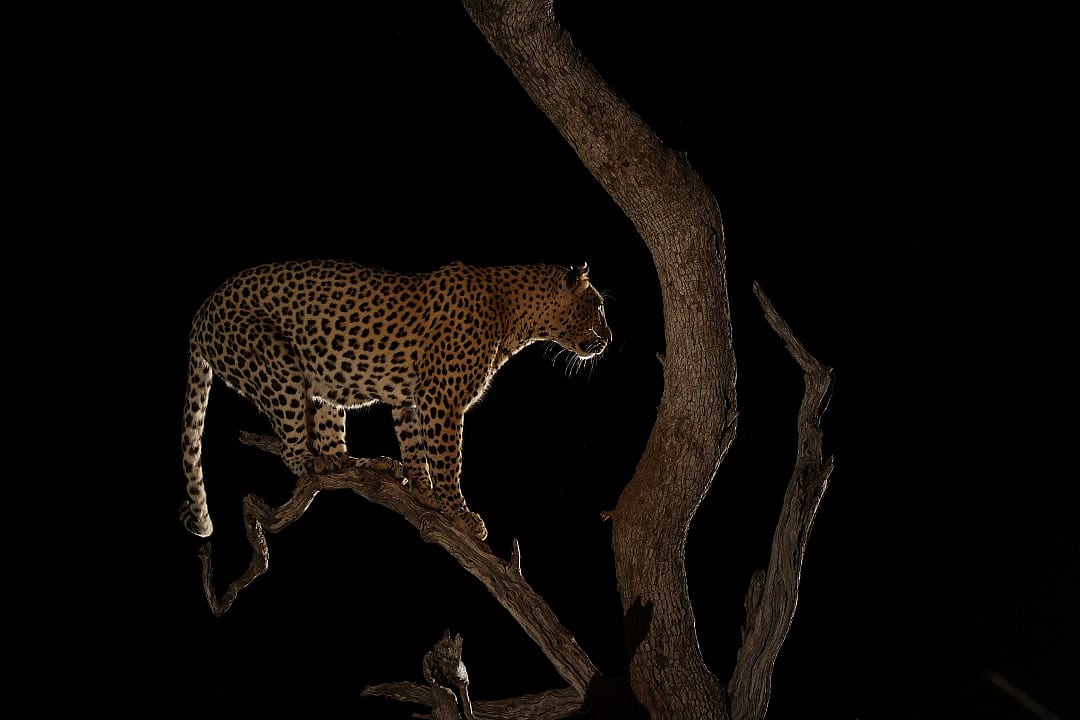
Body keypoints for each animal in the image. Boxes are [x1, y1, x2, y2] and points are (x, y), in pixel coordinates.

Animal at [180, 259, 611, 541]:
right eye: (599, 306)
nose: (608, 340)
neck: (516, 316)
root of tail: (201, 312)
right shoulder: (442, 398)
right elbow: (448, 460)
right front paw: (459, 513)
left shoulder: (414, 399)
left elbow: (416, 446)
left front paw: (424, 492)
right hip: (275, 364)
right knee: (292, 447)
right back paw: (313, 461)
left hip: (321, 380)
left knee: (331, 437)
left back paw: (364, 463)